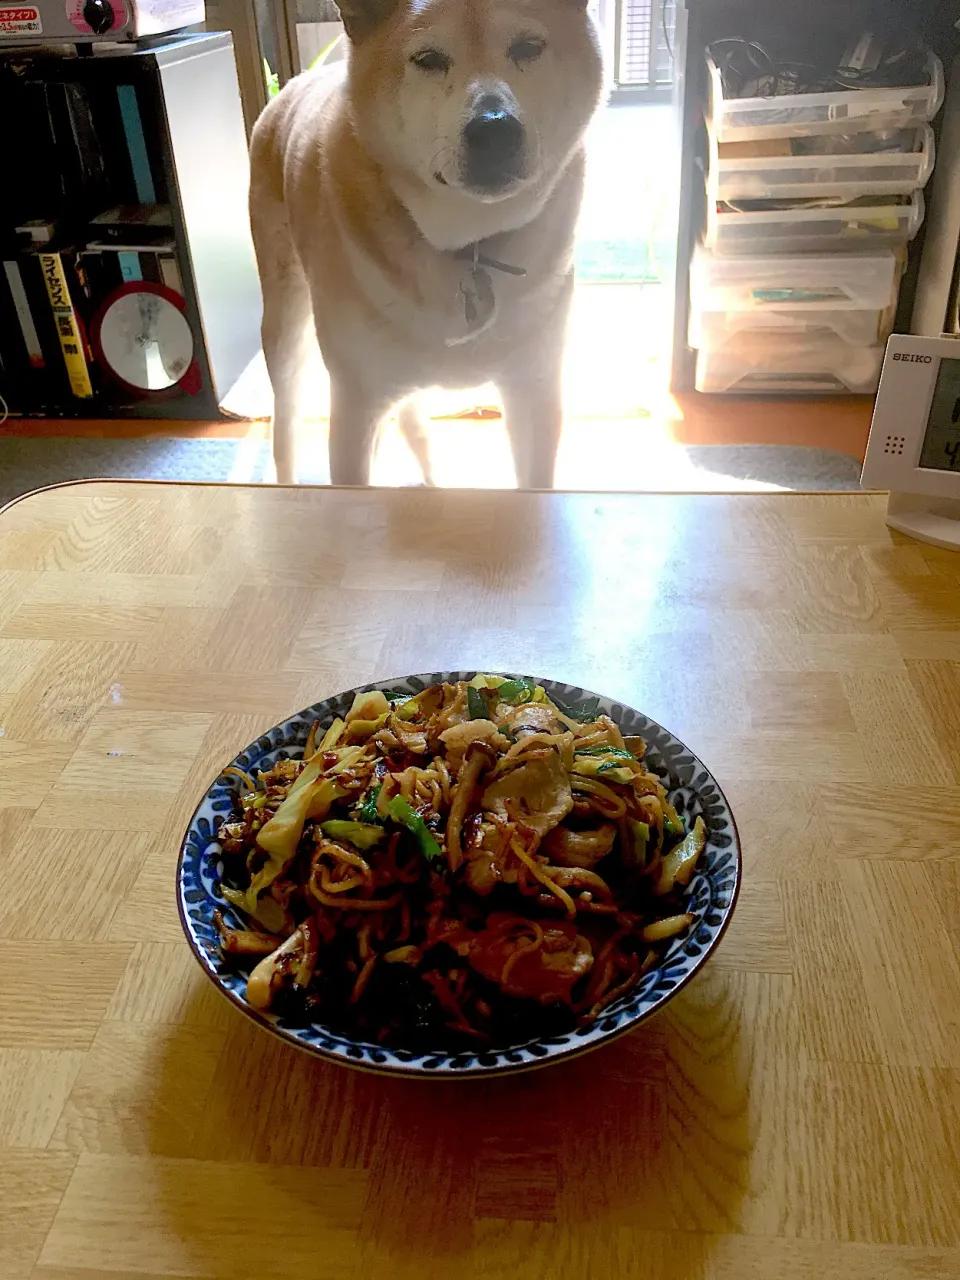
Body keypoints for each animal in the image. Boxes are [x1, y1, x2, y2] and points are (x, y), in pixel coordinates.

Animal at [248, 0, 601, 483]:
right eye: (428, 59)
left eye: (529, 47)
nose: (494, 129)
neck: (470, 243)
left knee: (414, 422)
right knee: (284, 430)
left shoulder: (535, 389)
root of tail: (294, 82)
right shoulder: (357, 405)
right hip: (286, 337)